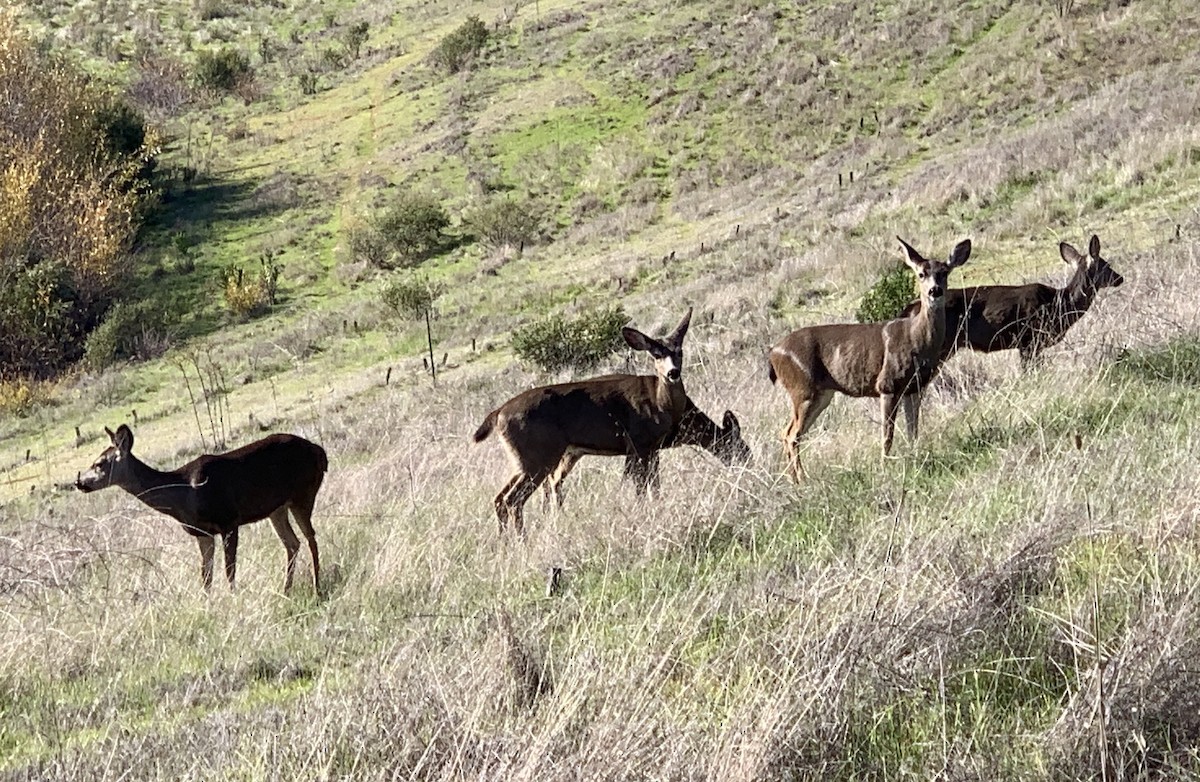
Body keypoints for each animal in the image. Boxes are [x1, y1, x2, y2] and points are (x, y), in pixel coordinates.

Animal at [75, 425, 328, 593]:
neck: (183, 495)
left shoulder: (228, 520)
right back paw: (286, 590)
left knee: (310, 538)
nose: (79, 483)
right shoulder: (202, 533)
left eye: (99, 464)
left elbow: (229, 570)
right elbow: (206, 576)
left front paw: (233, 600)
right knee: (293, 543)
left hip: (303, 493)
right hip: (276, 508)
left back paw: (317, 587)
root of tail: (320, 452)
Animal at [473, 309, 693, 536]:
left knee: (499, 498)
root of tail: (499, 413)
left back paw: (504, 539)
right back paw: (522, 539)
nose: (673, 373)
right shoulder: (638, 443)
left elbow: (655, 485)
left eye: (679, 352)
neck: (660, 403)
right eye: (656, 354)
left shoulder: (653, 447)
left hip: (521, 460)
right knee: (512, 499)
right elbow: (642, 486)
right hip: (537, 455)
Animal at [542, 398, 750, 505]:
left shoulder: (649, 449)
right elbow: (640, 480)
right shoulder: (639, 447)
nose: (749, 464)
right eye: (743, 448)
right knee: (551, 482)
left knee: (552, 481)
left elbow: (651, 479)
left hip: (570, 454)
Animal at [768, 236, 971, 480]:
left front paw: (916, 458)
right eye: (921, 273)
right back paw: (803, 480)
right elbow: (887, 435)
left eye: (945, 272)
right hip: (803, 389)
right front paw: (885, 468)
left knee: (787, 432)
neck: (917, 340)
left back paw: (795, 480)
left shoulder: (914, 388)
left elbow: (913, 431)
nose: (935, 291)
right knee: (791, 434)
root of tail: (773, 352)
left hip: (820, 394)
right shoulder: (887, 384)